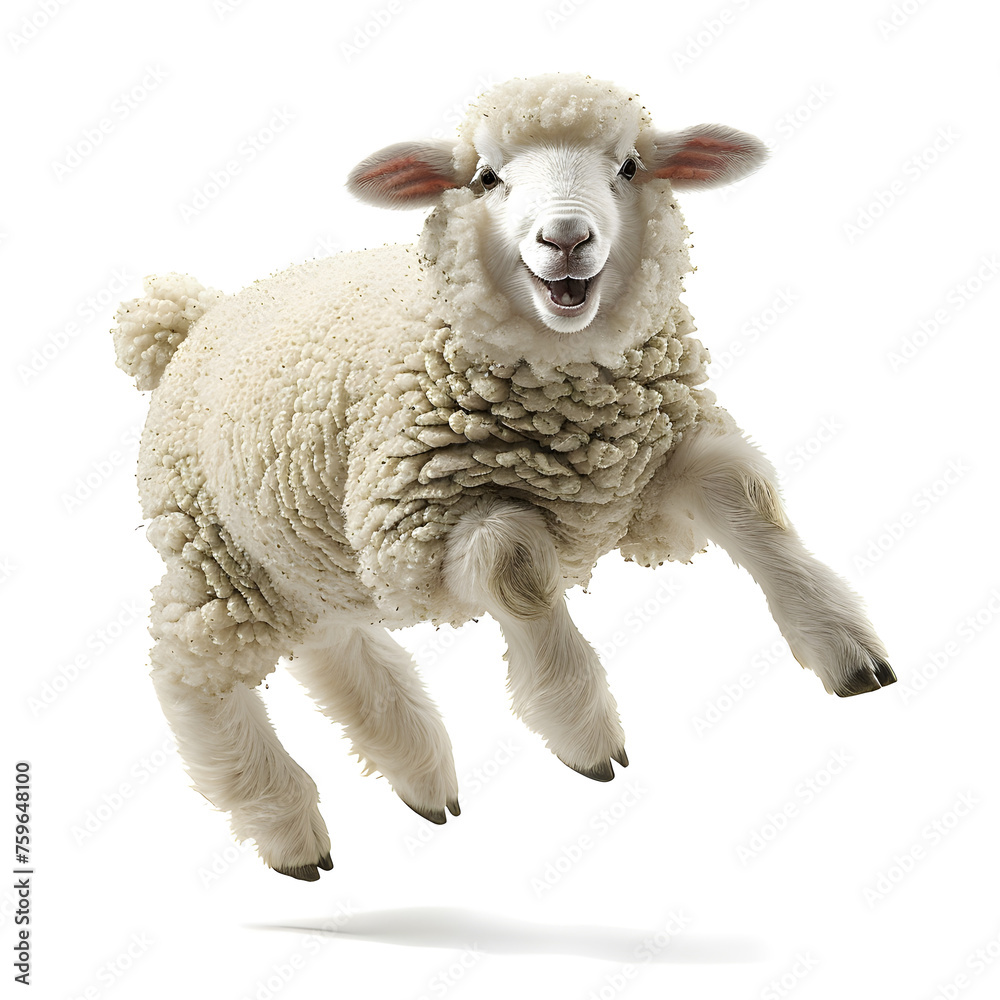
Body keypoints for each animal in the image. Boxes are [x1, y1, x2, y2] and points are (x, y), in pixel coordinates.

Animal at [113, 73, 894, 881]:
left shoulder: (649, 464)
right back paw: (285, 824)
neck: (573, 417)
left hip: (301, 555)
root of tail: (192, 321)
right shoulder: (414, 523)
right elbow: (516, 563)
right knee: (186, 671)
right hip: (218, 552)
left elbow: (749, 496)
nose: (566, 239)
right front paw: (583, 731)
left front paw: (845, 646)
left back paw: (419, 775)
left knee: (334, 646)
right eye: (485, 177)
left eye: (629, 166)